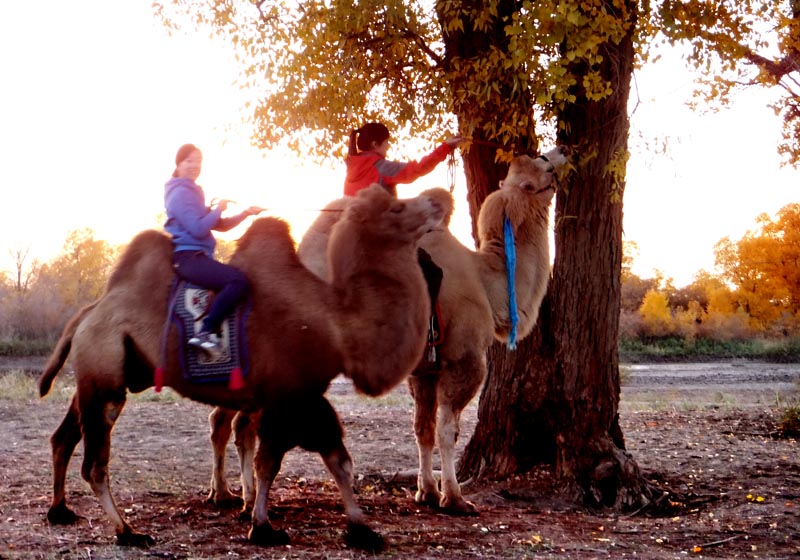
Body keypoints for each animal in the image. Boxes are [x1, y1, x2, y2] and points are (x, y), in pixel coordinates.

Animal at [37, 185, 446, 552]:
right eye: (396, 208)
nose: (436, 201)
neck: (337, 323)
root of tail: (88, 313)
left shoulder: (305, 396)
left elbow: (338, 459)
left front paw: (362, 531)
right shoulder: (289, 396)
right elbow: (273, 463)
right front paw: (262, 527)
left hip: (98, 377)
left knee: (64, 437)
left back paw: (60, 511)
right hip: (104, 380)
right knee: (95, 463)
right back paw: (128, 532)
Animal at [206, 145, 568, 516]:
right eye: (540, 165)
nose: (562, 150)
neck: (486, 281)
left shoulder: (424, 371)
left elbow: (423, 429)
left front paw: (426, 492)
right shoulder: (464, 359)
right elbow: (447, 431)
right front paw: (454, 499)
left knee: (225, 420)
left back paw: (227, 494)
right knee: (243, 425)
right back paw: (250, 501)